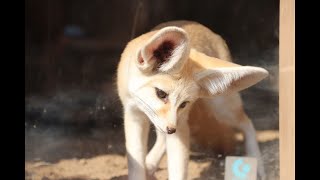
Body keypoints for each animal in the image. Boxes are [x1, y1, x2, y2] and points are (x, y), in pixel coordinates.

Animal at [116, 20, 268, 179]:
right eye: (161, 94)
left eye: (184, 104)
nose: (171, 130)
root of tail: (201, 26)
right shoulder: (134, 115)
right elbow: (136, 163)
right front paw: (143, 169)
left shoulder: (181, 123)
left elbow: (178, 170)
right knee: (162, 138)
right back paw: (150, 165)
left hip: (222, 109)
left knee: (247, 122)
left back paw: (257, 163)